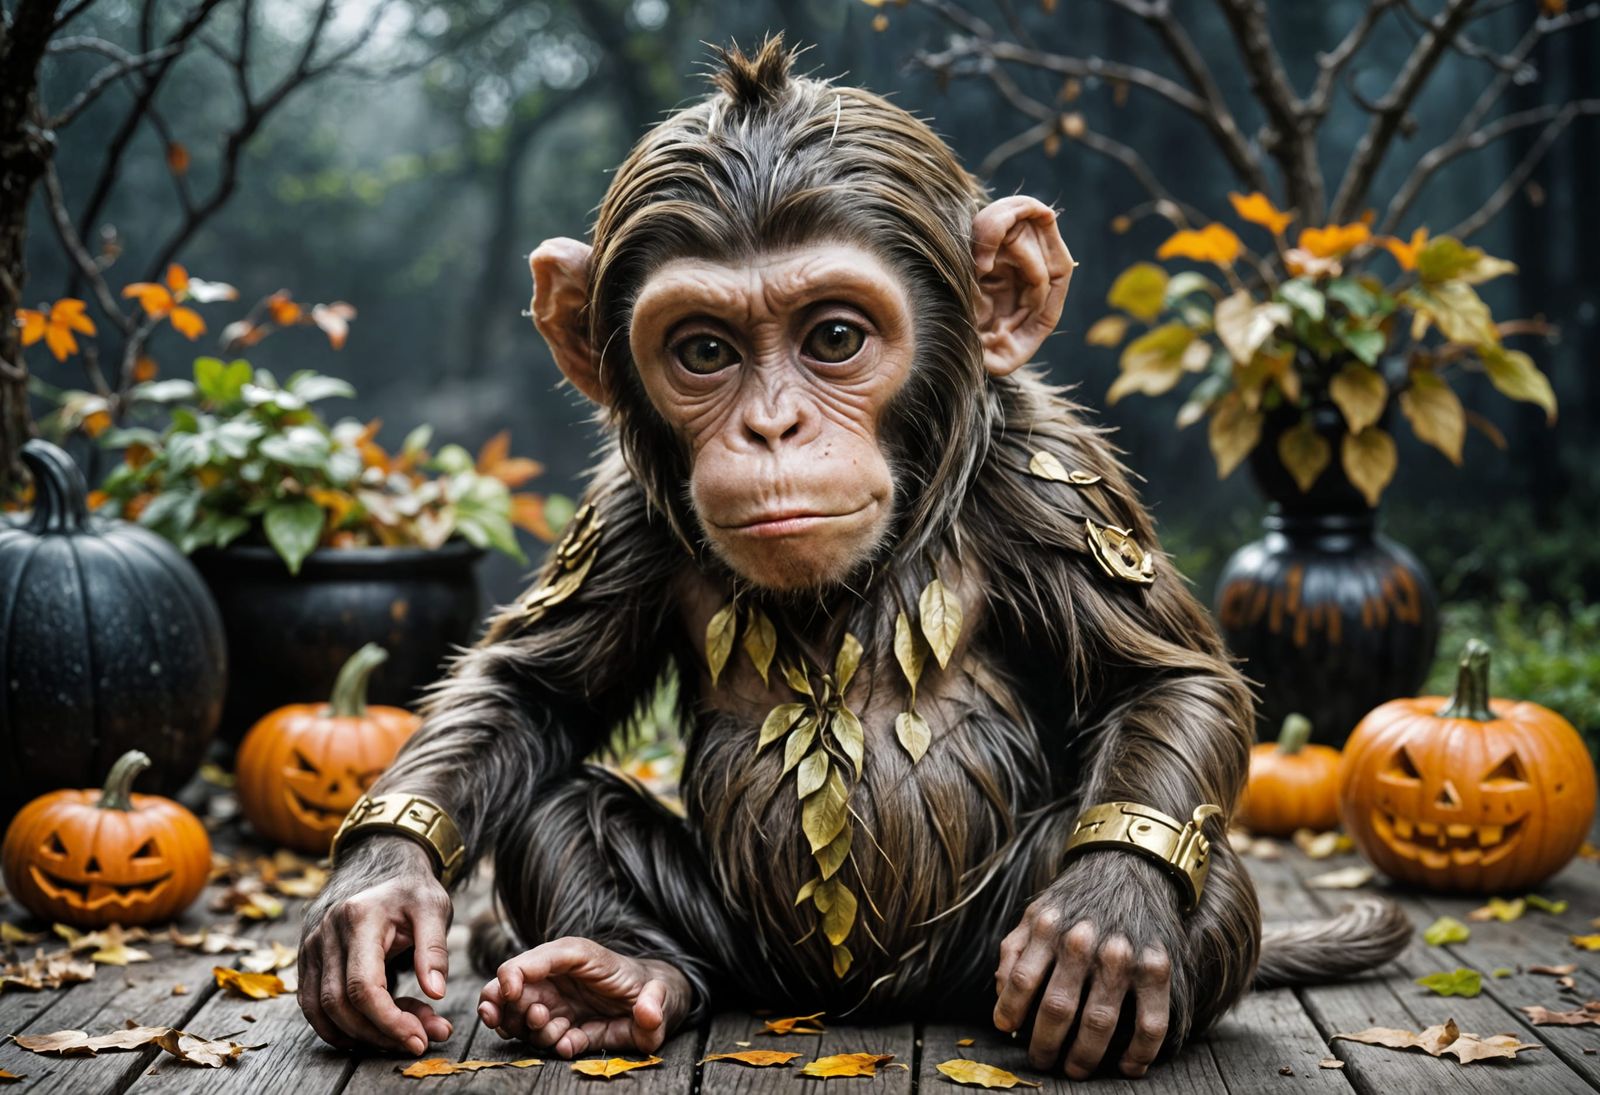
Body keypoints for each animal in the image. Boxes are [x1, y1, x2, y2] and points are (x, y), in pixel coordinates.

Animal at [298, 36, 1410, 1080]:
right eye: (704, 352)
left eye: (833, 338)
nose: (772, 428)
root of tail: (836, 1001)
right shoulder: (626, 515)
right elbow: (528, 688)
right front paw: (380, 888)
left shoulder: (1051, 478)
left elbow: (1166, 678)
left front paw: (1107, 914)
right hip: (741, 947)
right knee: (561, 808)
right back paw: (618, 973)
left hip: (965, 953)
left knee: (1213, 882)